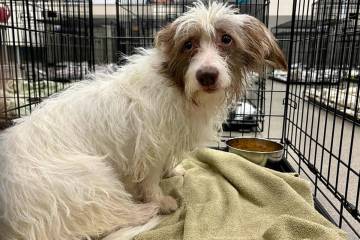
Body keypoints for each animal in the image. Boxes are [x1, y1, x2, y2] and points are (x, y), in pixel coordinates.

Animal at [0, 0, 286, 239]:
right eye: (188, 45)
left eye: (226, 39)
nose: (207, 75)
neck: (177, 87)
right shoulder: (150, 147)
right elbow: (150, 179)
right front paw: (159, 199)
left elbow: (167, 164)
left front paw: (173, 171)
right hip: (92, 177)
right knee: (112, 216)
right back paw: (147, 211)